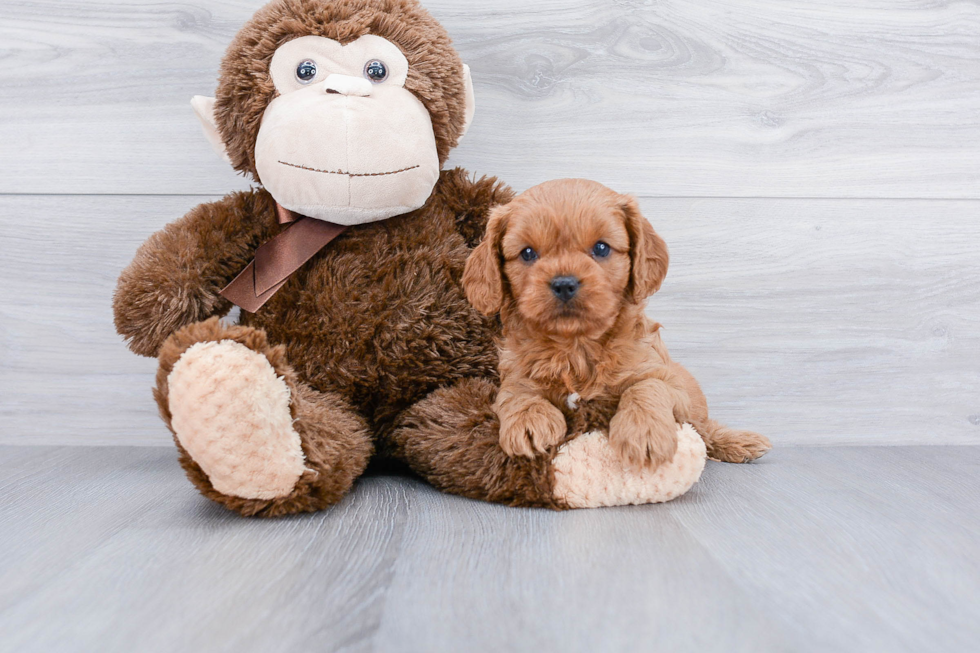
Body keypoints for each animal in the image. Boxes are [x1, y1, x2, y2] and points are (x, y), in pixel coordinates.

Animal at [464, 176, 768, 466]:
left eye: (601, 248)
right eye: (527, 253)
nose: (564, 284)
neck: (576, 347)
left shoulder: (669, 381)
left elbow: (647, 386)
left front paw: (643, 430)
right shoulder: (514, 374)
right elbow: (515, 393)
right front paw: (529, 420)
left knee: (705, 430)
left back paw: (739, 443)